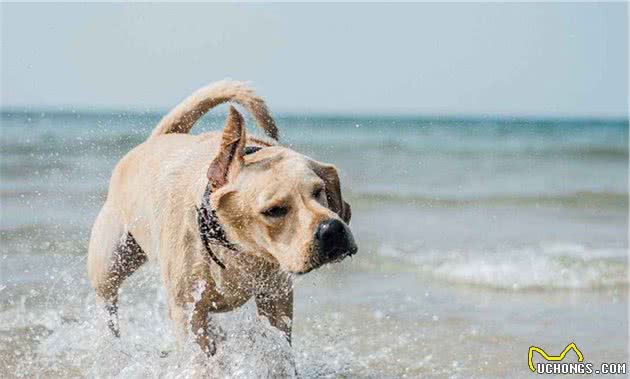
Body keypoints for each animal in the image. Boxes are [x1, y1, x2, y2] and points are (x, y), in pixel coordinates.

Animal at [86, 81, 358, 356]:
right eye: (274, 210)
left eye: (319, 191)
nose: (332, 229)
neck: (237, 246)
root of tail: (156, 140)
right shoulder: (188, 308)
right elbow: (199, 355)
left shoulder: (276, 297)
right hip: (111, 262)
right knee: (107, 300)